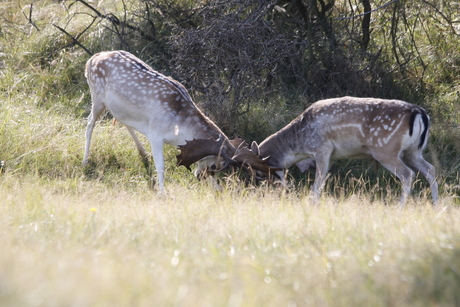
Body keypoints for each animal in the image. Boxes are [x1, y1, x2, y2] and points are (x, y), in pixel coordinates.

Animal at [83, 51, 239, 194]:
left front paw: (219, 188)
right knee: (90, 122)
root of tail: (91, 59)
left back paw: (143, 153)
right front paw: (162, 193)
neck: (179, 127)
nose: (200, 177)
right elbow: (161, 166)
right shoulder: (155, 134)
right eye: (214, 166)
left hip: (118, 106)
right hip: (97, 96)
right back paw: (85, 162)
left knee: (122, 120)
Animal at [234, 97, 438, 207]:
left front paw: (312, 203)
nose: (268, 193)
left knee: (408, 174)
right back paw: (436, 205)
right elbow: (323, 180)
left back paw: (400, 206)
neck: (300, 145)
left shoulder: (322, 149)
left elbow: (317, 182)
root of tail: (420, 114)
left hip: (385, 149)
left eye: (259, 174)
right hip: (413, 151)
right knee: (430, 169)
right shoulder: (332, 156)